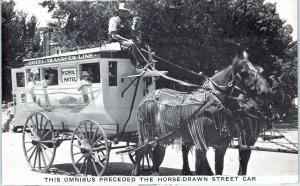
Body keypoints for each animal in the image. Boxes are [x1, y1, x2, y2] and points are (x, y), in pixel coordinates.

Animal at [131, 56, 272, 176]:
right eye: (243, 72)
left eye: (259, 72)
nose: (266, 91)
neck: (214, 103)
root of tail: (148, 95)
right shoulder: (201, 143)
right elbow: (200, 169)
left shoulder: (222, 145)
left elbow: (220, 168)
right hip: (147, 133)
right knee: (140, 150)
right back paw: (136, 172)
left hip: (163, 135)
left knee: (157, 152)